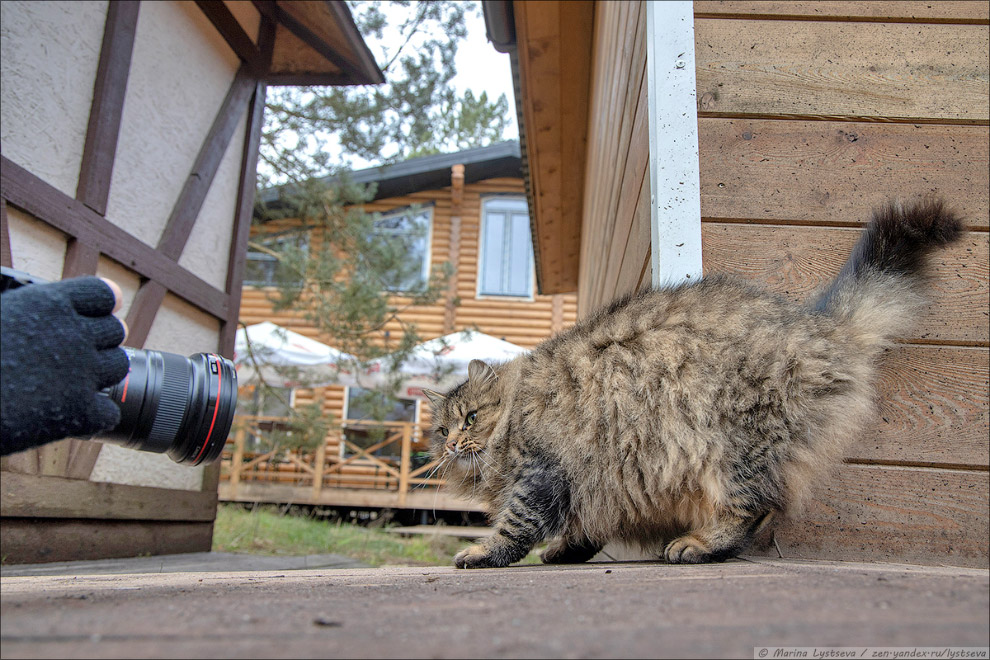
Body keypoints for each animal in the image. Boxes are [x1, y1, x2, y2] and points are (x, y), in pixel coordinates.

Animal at [424, 200, 960, 568]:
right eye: (442, 430)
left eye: (471, 418)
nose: (451, 444)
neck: (517, 411)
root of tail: (817, 325)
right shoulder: (592, 485)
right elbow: (583, 529)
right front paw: (562, 551)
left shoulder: (544, 472)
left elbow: (515, 527)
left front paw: (482, 553)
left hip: (733, 445)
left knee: (752, 507)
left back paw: (700, 545)